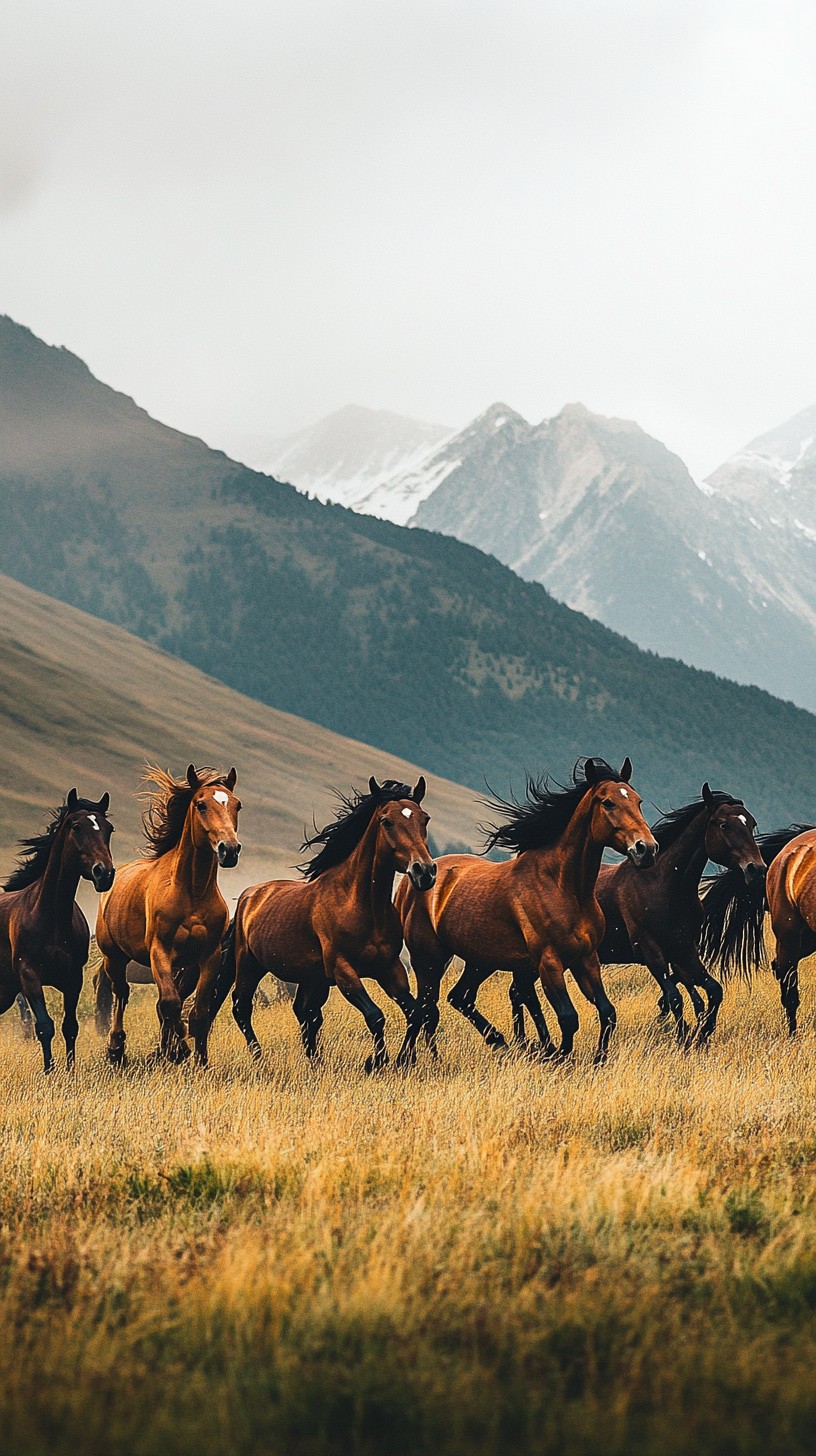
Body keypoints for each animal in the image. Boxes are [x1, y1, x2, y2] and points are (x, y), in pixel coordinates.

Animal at [0, 791, 115, 1072]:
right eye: (76, 827)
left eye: (108, 829)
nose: (104, 873)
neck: (50, 918)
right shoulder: (29, 976)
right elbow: (44, 1026)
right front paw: (49, 1070)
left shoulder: (73, 978)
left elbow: (70, 1027)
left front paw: (70, 1071)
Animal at [95, 765, 241, 1066]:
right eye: (200, 804)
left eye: (237, 804)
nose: (229, 849)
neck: (191, 891)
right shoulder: (159, 952)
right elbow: (171, 1004)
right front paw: (180, 1049)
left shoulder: (207, 957)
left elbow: (198, 1013)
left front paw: (199, 1060)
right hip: (114, 957)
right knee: (121, 994)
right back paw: (116, 1049)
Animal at [213, 777, 436, 1071]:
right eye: (386, 821)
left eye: (425, 819)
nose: (424, 871)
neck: (361, 904)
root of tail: (249, 896)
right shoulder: (343, 971)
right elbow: (375, 1016)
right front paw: (376, 1061)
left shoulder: (389, 968)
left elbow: (414, 1012)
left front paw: (403, 1060)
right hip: (249, 965)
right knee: (242, 1008)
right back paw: (260, 1058)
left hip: (311, 977)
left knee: (305, 1012)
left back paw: (315, 1060)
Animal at [396, 756, 657, 1067]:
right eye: (608, 803)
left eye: (639, 801)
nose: (647, 849)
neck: (564, 887)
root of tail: (413, 881)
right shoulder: (549, 962)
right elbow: (568, 1017)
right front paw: (558, 1057)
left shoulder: (586, 958)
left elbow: (607, 1012)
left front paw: (597, 1060)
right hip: (429, 960)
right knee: (424, 1007)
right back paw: (411, 1059)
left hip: (480, 960)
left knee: (459, 998)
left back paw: (499, 1042)